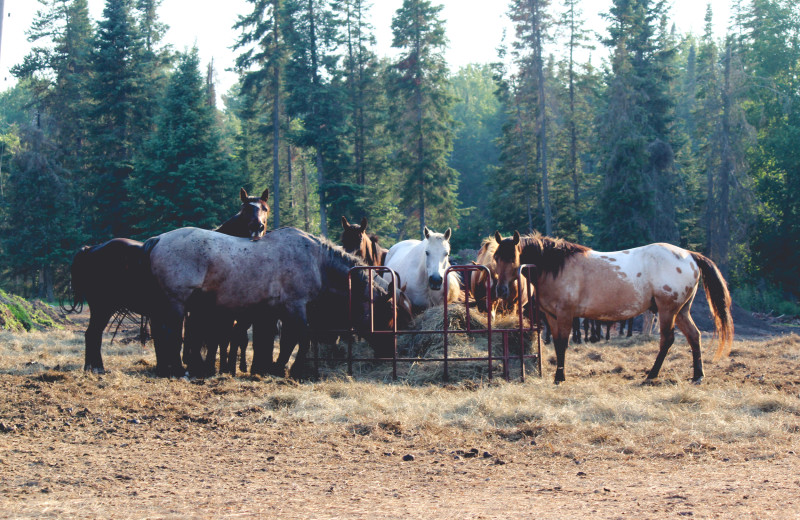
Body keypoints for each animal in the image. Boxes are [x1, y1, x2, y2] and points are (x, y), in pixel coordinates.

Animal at [490, 231, 736, 382]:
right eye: (495, 257)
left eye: (512, 258)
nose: (501, 290)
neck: (556, 266)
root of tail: (689, 256)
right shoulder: (551, 316)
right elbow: (558, 344)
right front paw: (558, 375)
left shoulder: (565, 315)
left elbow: (562, 344)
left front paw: (560, 377)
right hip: (681, 311)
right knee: (694, 336)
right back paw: (697, 375)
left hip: (668, 311)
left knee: (667, 340)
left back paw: (652, 375)